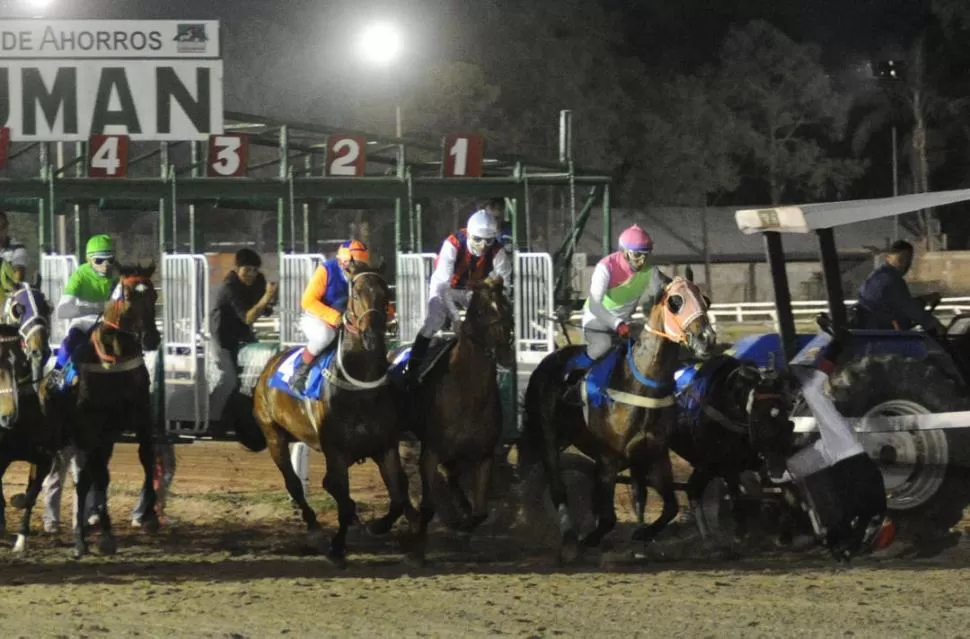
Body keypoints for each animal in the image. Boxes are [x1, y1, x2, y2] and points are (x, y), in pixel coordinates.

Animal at [39, 262, 161, 556]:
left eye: (153, 296)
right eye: (128, 297)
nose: (151, 339)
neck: (114, 359)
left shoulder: (138, 416)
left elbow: (146, 456)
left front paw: (150, 515)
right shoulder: (91, 429)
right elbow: (94, 478)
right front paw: (93, 536)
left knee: (93, 477)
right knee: (85, 478)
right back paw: (81, 535)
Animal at [250, 262, 412, 568]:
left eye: (386, 294)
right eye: (356, 294)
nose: (372, 336)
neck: (361, 386)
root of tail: (270, 365)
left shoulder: (385, 446)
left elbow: (397, 497)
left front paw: (376, 526)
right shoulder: (335, 450)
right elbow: (342, 499)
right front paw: (337, 546)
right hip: (274, 435)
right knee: (294, 484)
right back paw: (314, 528)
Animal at [392, 278, 520, 564]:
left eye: (507, 307)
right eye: (481, 312)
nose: (504, 354)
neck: (468, 393)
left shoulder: (484, 455)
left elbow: (480, 512)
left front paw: (463, 527)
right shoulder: (430, 453)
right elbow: (428, 506)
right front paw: (416, 545)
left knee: (451, 478)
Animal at [520, 276, 716, 560]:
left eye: (706, 300)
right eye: (675, 301)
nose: (707, 339)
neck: (640, 384)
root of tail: (548, 360)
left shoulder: (655, 454)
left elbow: (667, 506)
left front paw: (642, 535)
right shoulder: (609, 459)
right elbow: (608, 518)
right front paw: (591, 539)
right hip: (548, 436)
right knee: (557, 487)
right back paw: (570, 540)